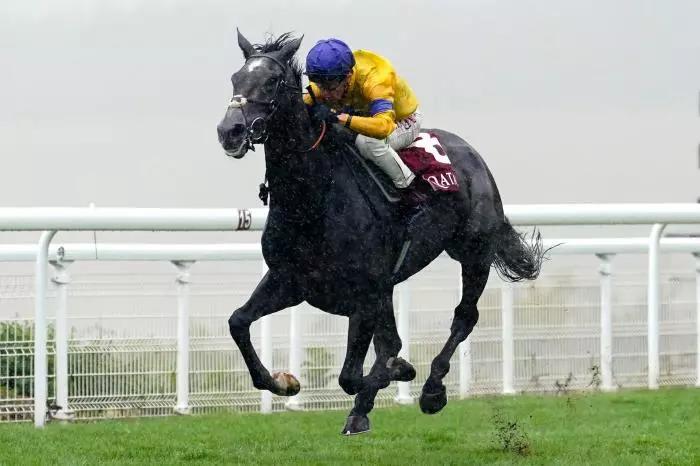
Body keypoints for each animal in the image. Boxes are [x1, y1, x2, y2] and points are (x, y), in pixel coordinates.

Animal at [216, 31, 544, 436]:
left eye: (272, 82)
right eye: (235, 79)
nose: (230, 130)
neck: (312, 200)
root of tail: (472, 155)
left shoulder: (364, 294)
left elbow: (353, 374)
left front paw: (396, 376)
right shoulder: (290, 281)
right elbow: (238, 322)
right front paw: (283, 381)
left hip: (474, 252)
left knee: (463, 317)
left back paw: (432, 390)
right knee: (394, 339)